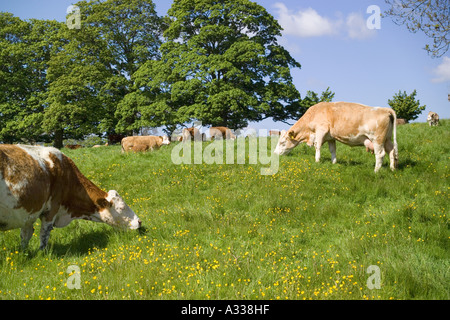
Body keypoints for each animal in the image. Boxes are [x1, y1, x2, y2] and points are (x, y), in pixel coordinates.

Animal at [0, 144, 141, 249]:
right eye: (121, 207)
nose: (139, 221)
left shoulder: (28, 215)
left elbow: (25, 236)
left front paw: (24, 253)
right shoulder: (51, 210)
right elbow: (44, 235)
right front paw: (42, 254)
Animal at [272, 102, 400, 172]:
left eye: (282, 142)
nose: (275, 154)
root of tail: (385, 109)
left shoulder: (320, 131)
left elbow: (317, 146)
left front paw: (317, 161)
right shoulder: (330, 137)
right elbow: (332, 150)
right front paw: (334, 163)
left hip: (377, 139)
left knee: (380, 154)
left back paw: (376, 171)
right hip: (387, 139)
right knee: (392, 151)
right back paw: (392, 168)